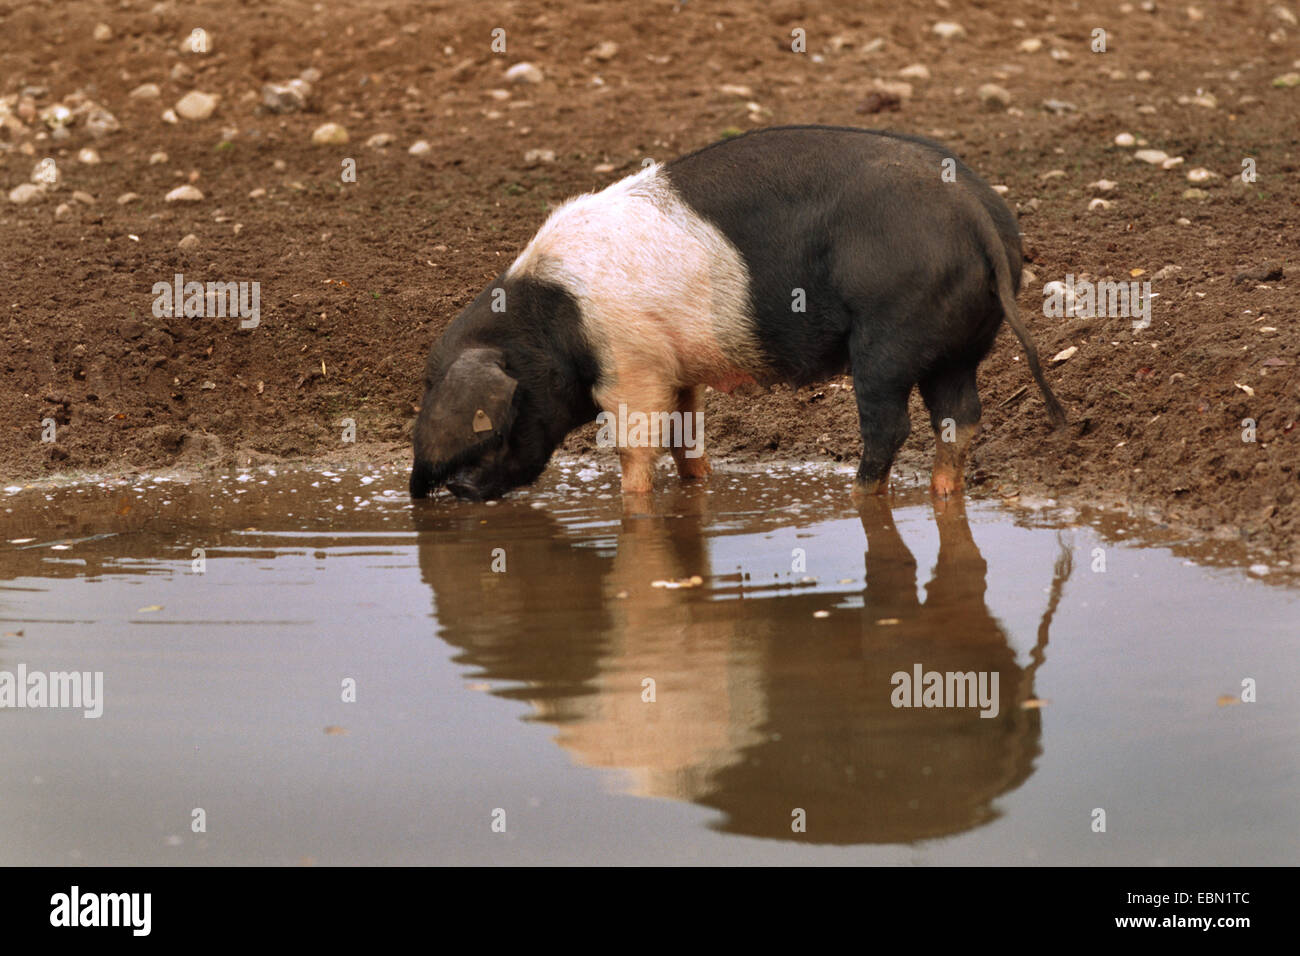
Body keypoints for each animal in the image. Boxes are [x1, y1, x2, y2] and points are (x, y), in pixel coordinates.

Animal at [413, 122, 1066, 502]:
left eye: (497, 428)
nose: (453, 491)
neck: (553, 323)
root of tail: (974, 212)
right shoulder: (676, 370)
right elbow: (687, 440)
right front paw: (698, 488)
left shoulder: (632, 365)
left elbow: (635, 449)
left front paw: (634, 508)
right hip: (957, 347)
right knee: (960, 420)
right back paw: (941, 492)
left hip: (887, 336)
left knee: (889, 426)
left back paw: (858, 496)